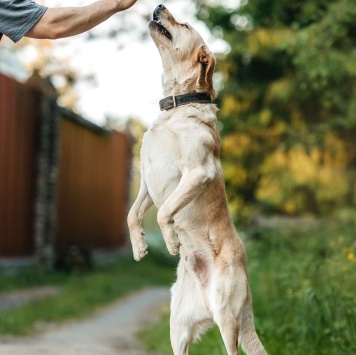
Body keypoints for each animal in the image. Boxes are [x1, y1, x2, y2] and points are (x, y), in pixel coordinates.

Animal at [128, 4, 268, 355]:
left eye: (185, 24)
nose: (158, 6)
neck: (178, 104)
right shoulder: (146, 182)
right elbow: (132, 214)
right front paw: (139, 246)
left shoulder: (196, 172)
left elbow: (165, 212)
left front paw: (171, 241)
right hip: (177, 328)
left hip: (227, 317)